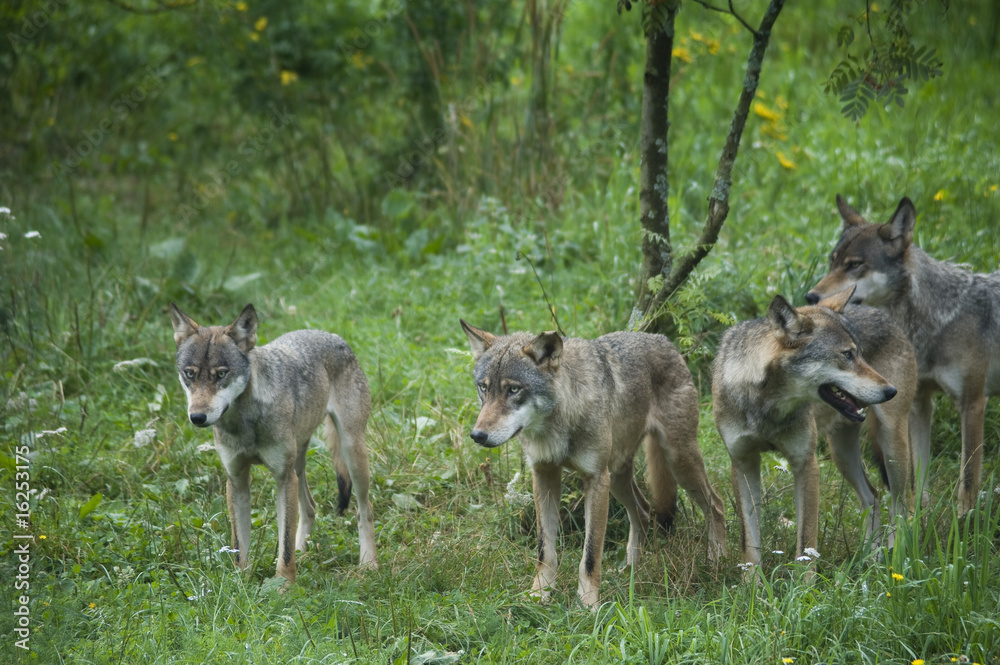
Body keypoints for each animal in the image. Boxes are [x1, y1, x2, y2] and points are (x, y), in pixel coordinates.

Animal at [170, 304, 376, 584]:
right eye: (189, 374)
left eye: (221, 374)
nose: (197, 417)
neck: (245, 421)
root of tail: (333, 335)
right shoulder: (236, 480)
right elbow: (240, 547)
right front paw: (241, 584)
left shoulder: (282, 478)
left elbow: (285, 546)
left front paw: (284, 586)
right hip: (298, 466)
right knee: (310, 509)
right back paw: (304, 553)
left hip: (351, 453)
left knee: (364, 510)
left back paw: (369, 564)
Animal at [460, 320, 728, 608]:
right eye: (484, 388)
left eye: (513, 389)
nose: (477, 435)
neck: (559, 424)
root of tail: (663, 340)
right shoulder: (544, 476)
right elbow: (545, 549)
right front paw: (539, 594)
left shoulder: (596, 479)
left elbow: (590, 554)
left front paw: (588, 604)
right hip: (619, 477)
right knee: (644, 511)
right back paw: (630, 571)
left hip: (676, 461)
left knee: (716, 504)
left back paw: (716, 562)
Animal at [804, 195, 1000, 510]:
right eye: (832, 262)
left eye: (855, 265)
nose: (810, 296)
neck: (936, 321)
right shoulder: (920, 404)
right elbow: (918, 476)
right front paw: (921, 517)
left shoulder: (972, 403)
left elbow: (968, 481)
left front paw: (964, 519)